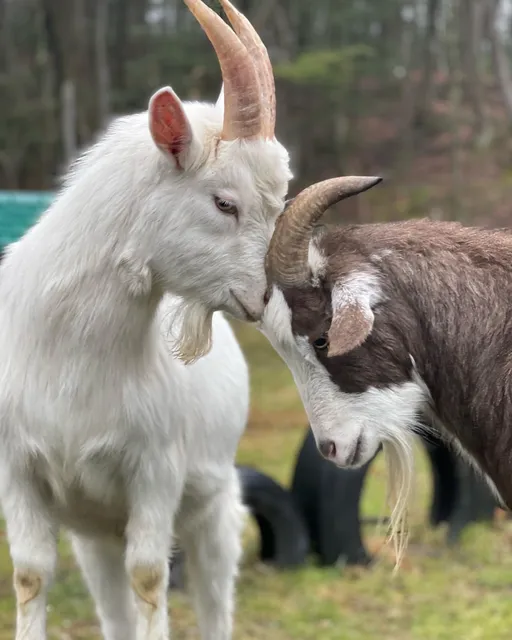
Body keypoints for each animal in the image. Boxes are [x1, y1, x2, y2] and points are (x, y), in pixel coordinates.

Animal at [0, 1, 292, 638]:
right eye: (224, 202)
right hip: (94, 533)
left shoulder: (156, 470)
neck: (73, 356)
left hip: (214, 508)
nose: (271, 299)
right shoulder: (16, 467)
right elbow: (31, 574)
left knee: (213, 602)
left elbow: (150, 576)